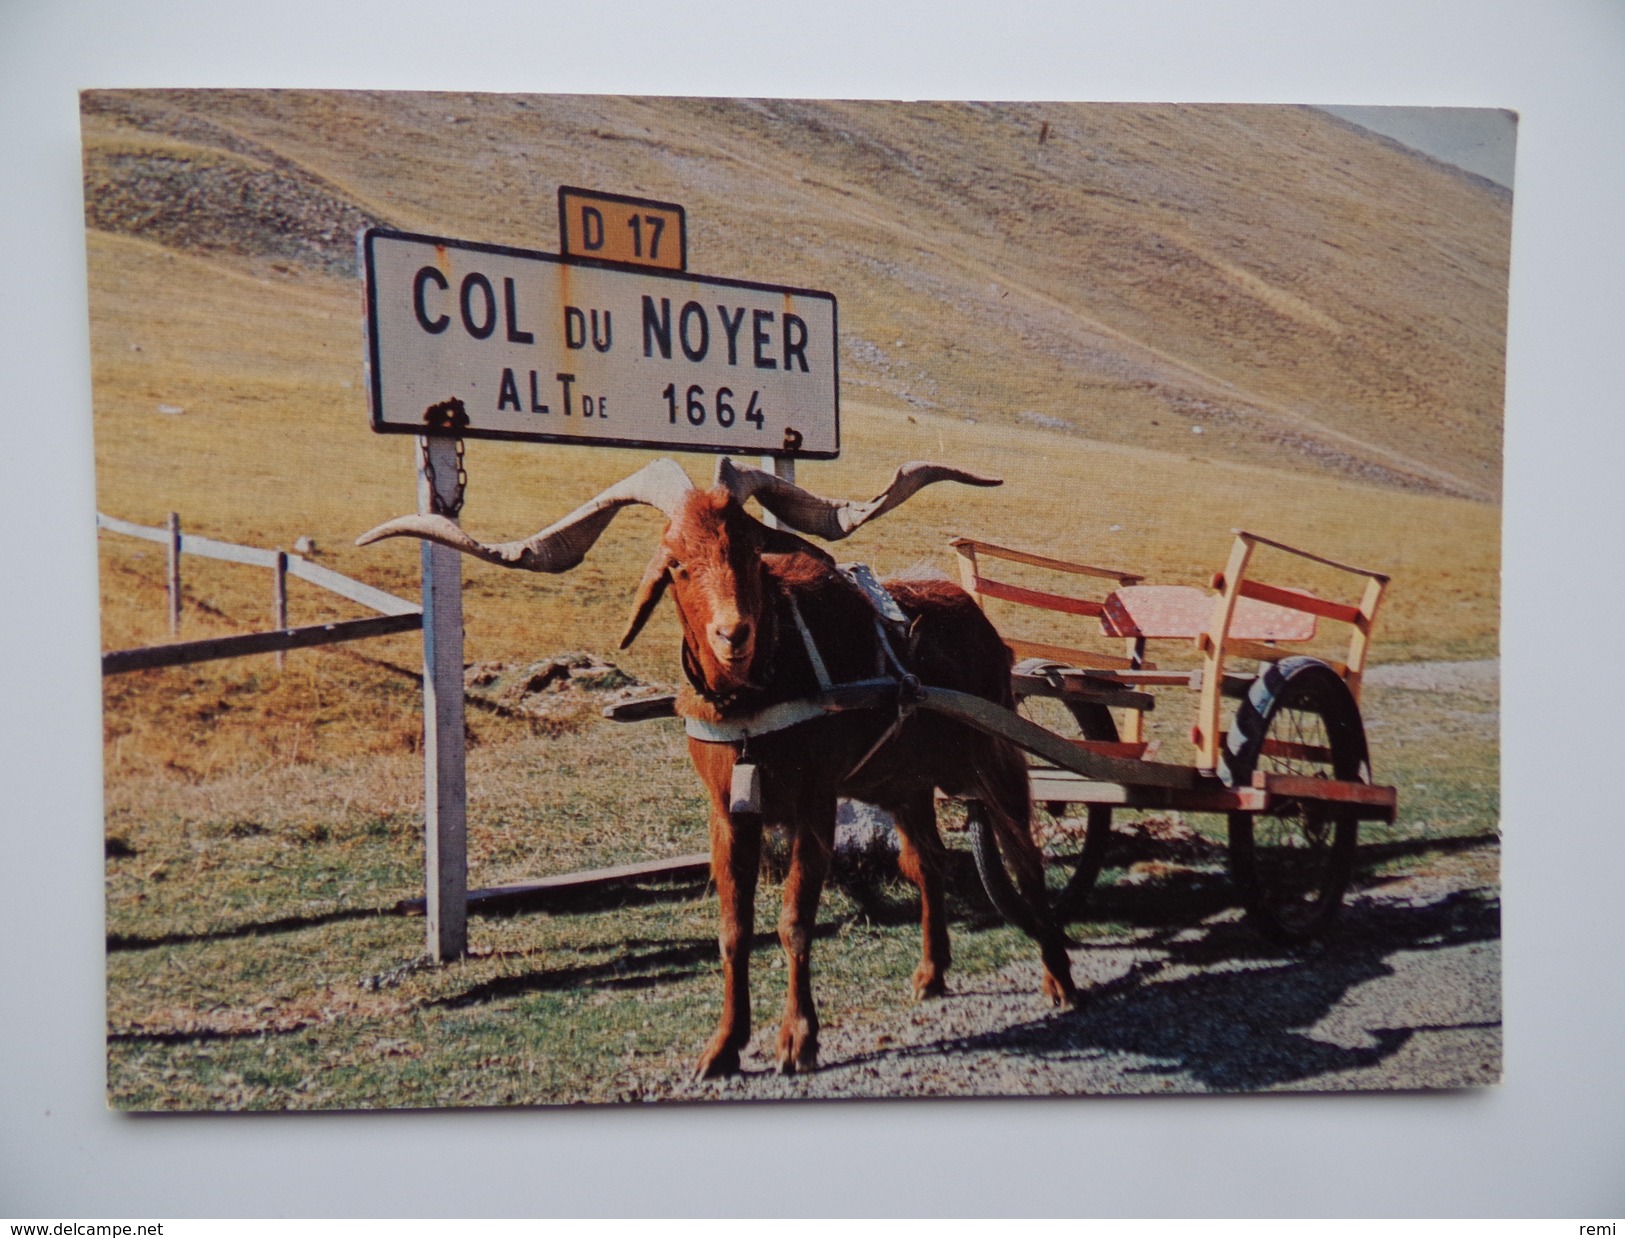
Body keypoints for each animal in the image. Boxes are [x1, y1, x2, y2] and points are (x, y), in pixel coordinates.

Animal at [365, 454, 1079, 1072]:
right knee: (926, 862)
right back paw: (932, 974)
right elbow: (734, 928)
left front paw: (797, 1040)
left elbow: (794, 921)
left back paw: (1059, 977)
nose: (733, 634)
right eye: (677, 562)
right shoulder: (727, 812)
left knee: (1024, 856)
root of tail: (979, 620)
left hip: (993, 759)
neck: (757, 697)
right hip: (903, 782)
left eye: (749, 553)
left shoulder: (815, 803)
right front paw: (725, 1047)